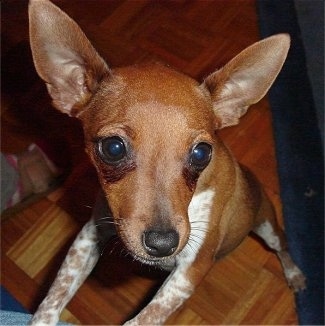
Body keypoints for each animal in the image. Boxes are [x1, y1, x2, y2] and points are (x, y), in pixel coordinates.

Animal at [29, 0, 306, 324]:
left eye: (202, 153)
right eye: (113, 148)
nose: (162, 244)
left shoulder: (190, 271)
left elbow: (143, 318)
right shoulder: (89, 236)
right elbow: (54, 298)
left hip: (267, 227)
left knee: (282, 246)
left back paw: (294, 273)